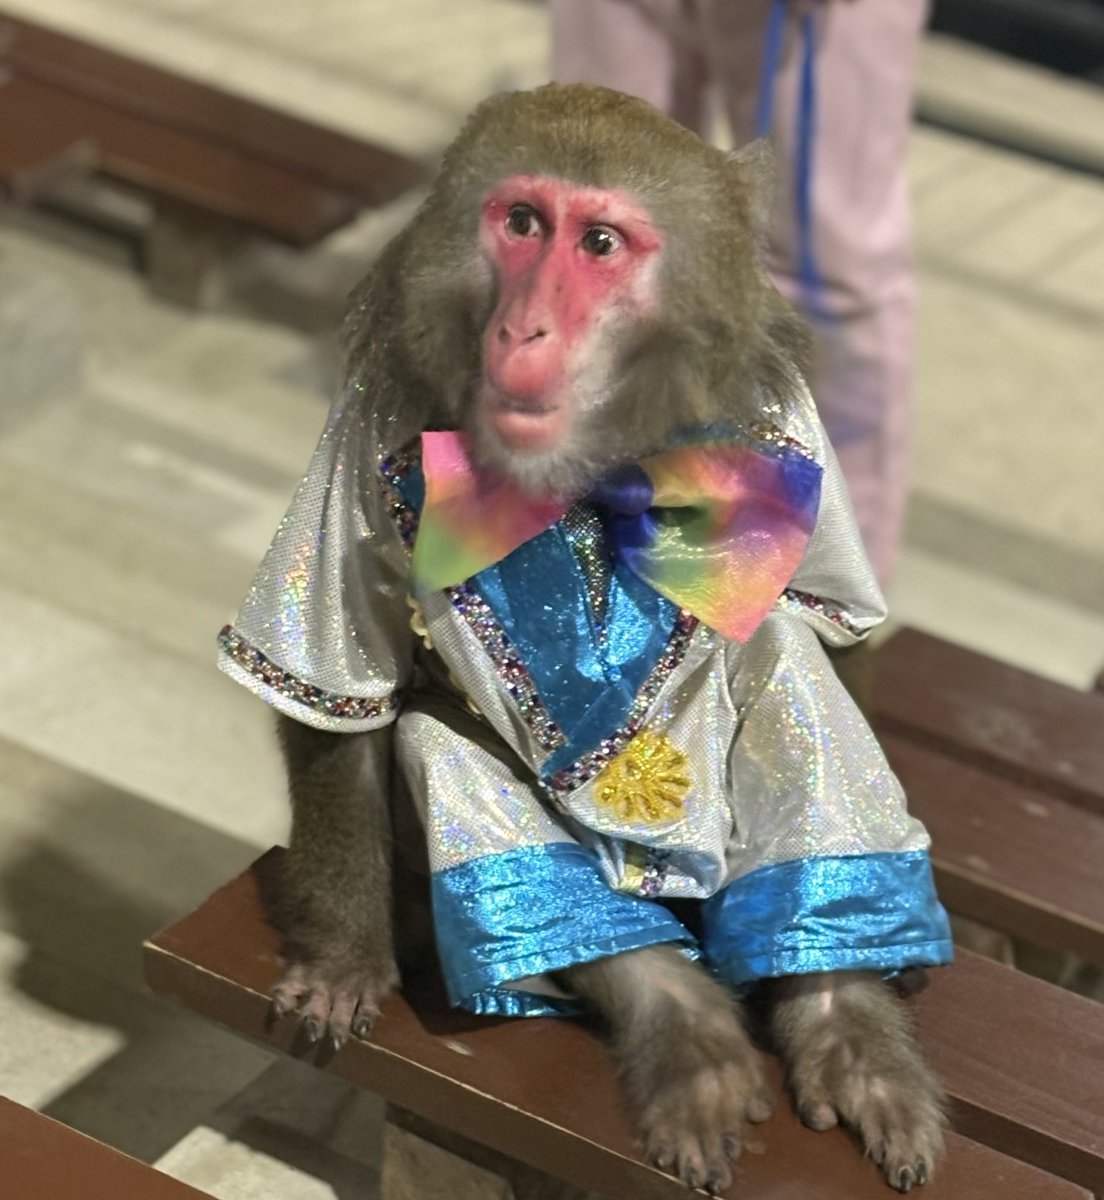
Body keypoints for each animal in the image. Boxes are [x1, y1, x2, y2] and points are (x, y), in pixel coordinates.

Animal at [218, 85, 952, 1194]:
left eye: (599, 243)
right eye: (522, 224)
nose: (524, 326)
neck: (592, 475)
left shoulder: (787, 424)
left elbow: (824, 623)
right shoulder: (360, 442)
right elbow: (345, 694)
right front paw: (343, 957)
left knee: (782, 654)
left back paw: (841, 1017)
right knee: (440, 743)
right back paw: (676, 1020)